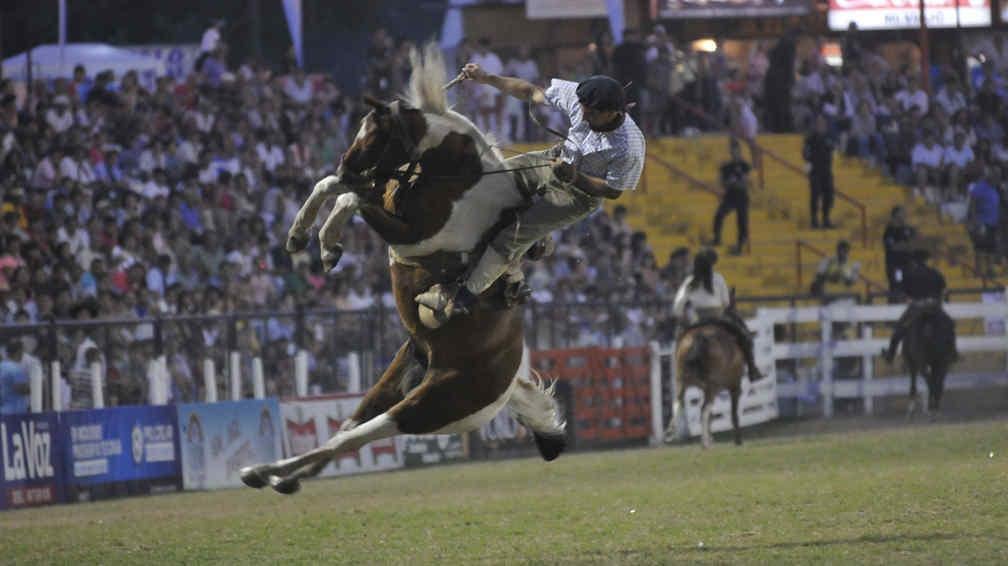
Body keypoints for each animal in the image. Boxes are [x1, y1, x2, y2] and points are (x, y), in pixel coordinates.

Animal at [238, 44, 564, 493]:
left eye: (377, 136)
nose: (345, 165)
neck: (460, 178)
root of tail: (509, 380)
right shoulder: (381, 194)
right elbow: (331, 188)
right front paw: (302, 236)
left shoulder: (414, 235)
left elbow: (349, 198)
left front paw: (326, 243)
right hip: (398, 374)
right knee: (343, 434)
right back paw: (276, 475)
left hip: (428, 406)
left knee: (353, 437)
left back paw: (265, 472)